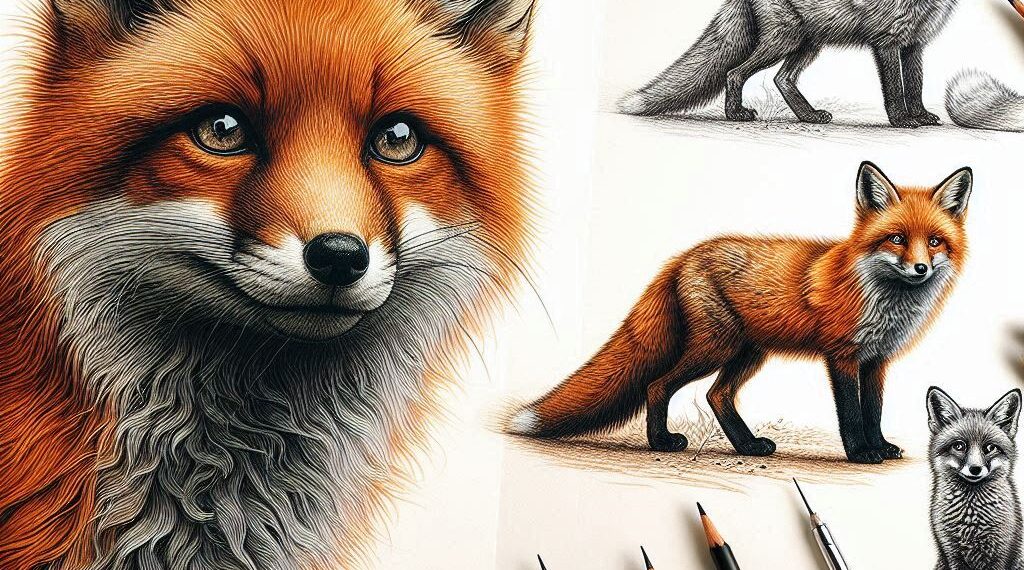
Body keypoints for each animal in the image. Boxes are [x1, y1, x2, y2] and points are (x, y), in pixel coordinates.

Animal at [511, 162, 972, 464]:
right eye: (896, 238)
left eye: (934, 241)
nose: (921, 268)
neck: (883, 298)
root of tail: (681, 257)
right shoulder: (841, 356)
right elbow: (851, 413)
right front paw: (860, 452)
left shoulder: (877, 359)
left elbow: (873, 410)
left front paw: (880, 447)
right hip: (717, 347)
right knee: (658, 386)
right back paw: (661, 442)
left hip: (748, 353)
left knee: (717, 395)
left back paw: (748, 446)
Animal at [617, 0, 960, 128]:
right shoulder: (887, 41)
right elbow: (896, 90)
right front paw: (902, 120)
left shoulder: (915, 43)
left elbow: (915, 85)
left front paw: (921, 116)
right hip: (784, 40)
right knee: (734, 72)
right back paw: (735, 114)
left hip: (807, 44)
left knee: (782, 79)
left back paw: (808, 115)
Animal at [927, 387, 1024, 570]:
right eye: (959, 446)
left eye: (990, 448)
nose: (975, 469)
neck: (971, 522)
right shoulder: (952, 554)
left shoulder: (1000, 555)